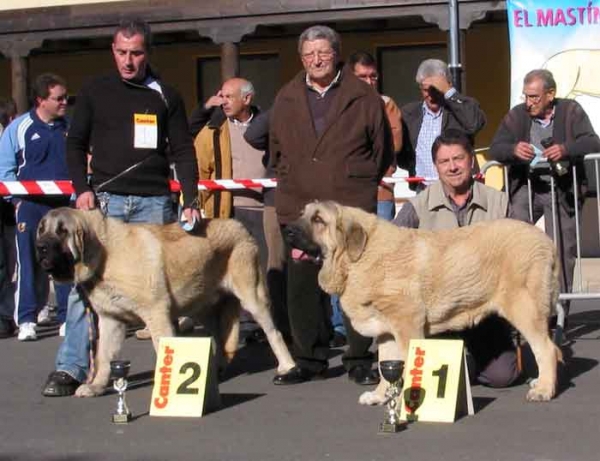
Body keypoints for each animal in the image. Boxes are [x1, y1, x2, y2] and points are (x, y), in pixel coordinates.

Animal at [36, 208, 294, 396]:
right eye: (41, 230)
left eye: (62, 231)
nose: (40, 247)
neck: (105, 254)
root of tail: (239, 226)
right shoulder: (110, 320)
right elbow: (103, 356)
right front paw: (96, 386)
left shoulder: (156, 314)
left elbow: (162, 349)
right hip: (202, 307)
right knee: (219, 337)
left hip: (252, 298)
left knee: (274, 333)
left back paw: (287, 366)